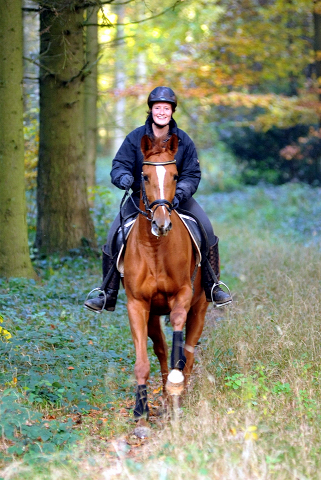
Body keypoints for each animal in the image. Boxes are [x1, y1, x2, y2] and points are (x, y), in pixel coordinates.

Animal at [122, 133, 208, 418]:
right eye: (146, 176)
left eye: (175, 175)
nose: (162, 224)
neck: (155, 249)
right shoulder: (137, 305)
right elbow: (143, 360)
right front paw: (141, 408)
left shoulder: (182, 296)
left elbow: (179, 352)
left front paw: (176, 385)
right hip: (152, 317)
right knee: (159, 350)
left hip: (200, 309)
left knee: (188, 352)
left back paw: (180, 393)